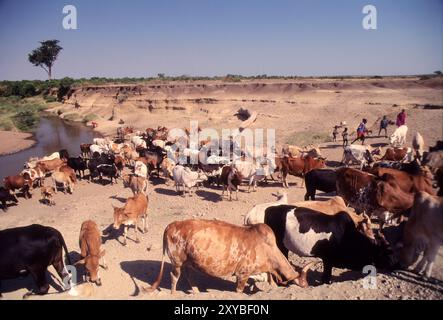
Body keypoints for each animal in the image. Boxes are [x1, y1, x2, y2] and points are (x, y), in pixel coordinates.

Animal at [144, 219, 314, 294]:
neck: (268, 249)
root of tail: (170, 225)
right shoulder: (243, 274)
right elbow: (239, 290)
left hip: (188, 261)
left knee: (189, 275)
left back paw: (197, 292)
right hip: (177, 262)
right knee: (174, 276)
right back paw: (173, 293)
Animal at [264, 205, 398, 282]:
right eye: (387, 254)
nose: (396, 266)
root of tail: (270, 209)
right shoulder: (328, 259)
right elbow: (326, 276)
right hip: (280, 246)